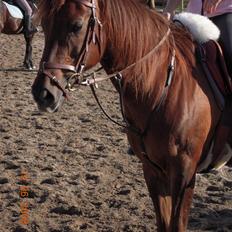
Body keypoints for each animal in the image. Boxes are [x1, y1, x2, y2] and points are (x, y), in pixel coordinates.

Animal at [31, 0, 227, 231]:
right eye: (44, 25)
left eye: (76, 26)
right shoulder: (153, 171)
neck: (163, 85)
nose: (42, 93)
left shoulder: (183, 174)